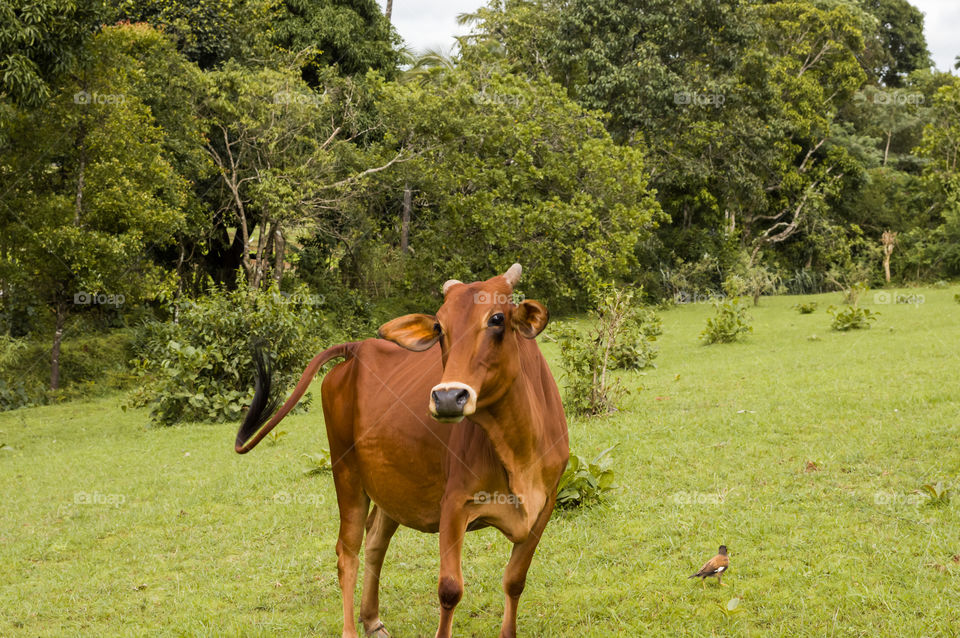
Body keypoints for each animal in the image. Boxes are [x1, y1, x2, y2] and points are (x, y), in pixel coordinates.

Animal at [234, 264, 569, 638]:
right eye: (439, 327)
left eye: (497, 318)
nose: (448, 397)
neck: (519, 448)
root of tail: (359, 348)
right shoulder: (454, 504)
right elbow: (450, 589)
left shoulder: (545, 504)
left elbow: (514, 580)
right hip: (346, 473)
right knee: (347, 552)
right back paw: (352, 628)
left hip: (390, 483)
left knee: (375, 543)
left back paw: (372, 619)